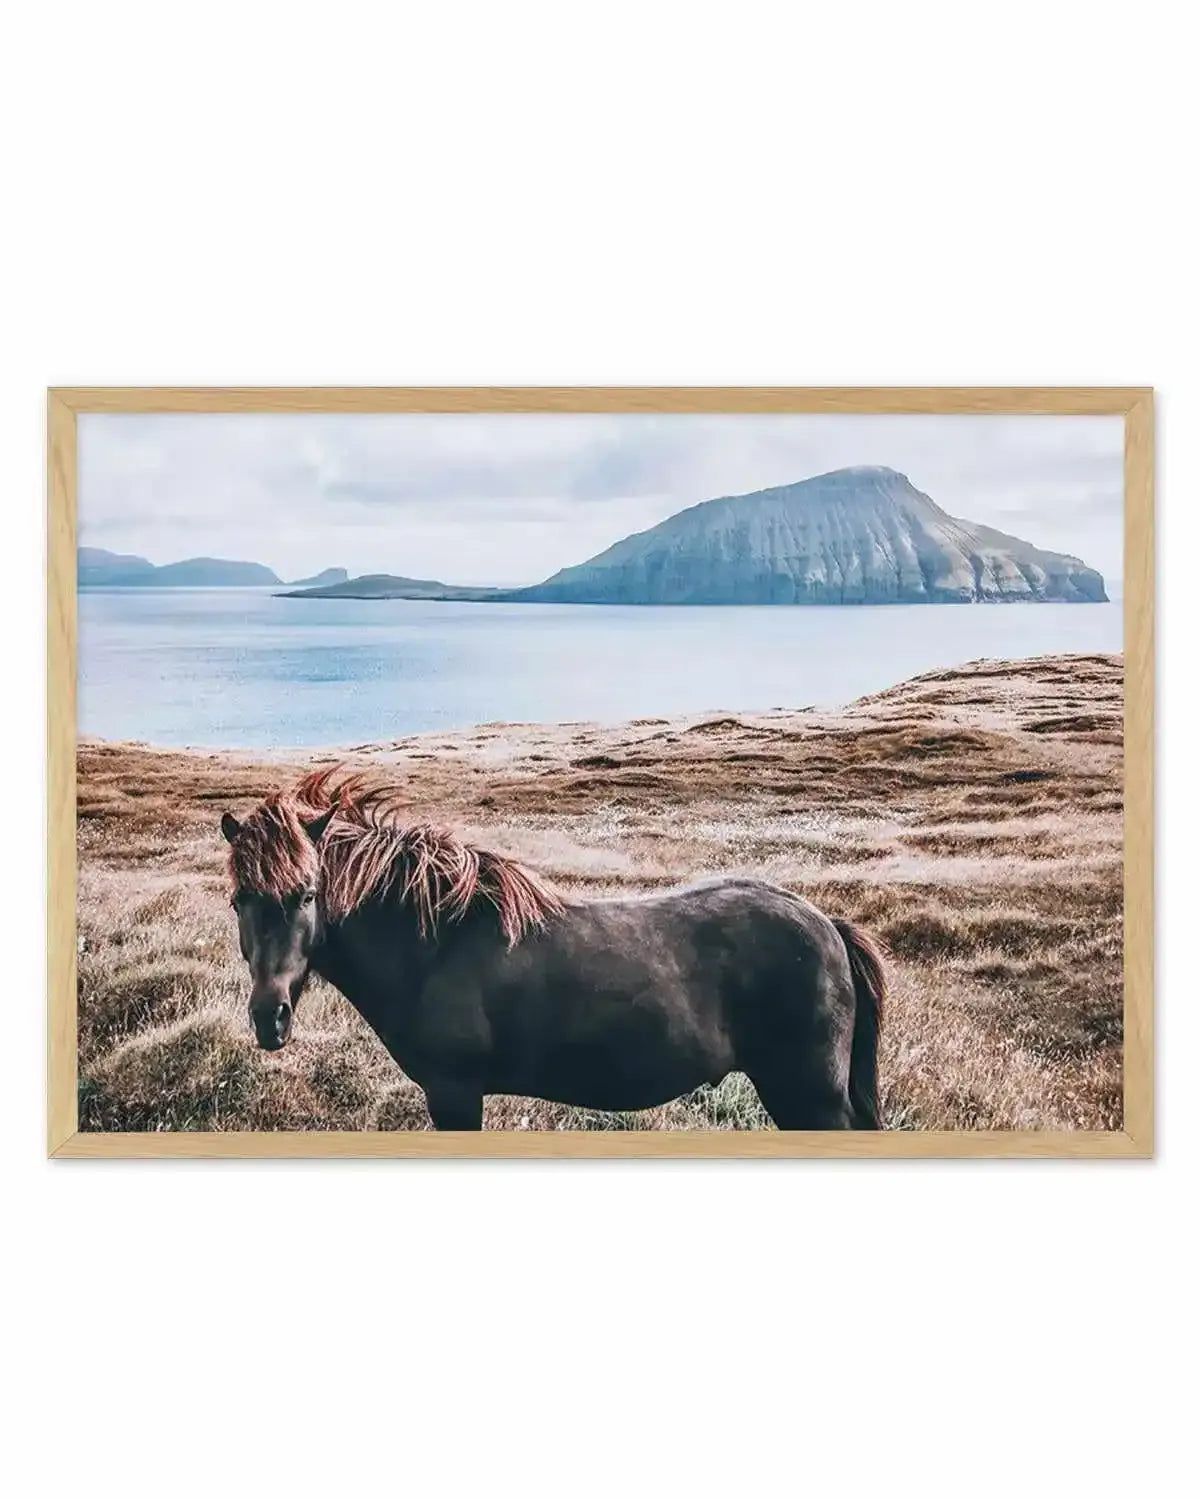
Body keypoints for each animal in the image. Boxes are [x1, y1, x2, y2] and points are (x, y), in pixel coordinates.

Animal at [220, 768, 886, 1130]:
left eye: (307, 894)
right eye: (238, 901)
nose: (270, 1019)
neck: (434, 944)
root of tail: (828, 924)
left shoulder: (454, 1093)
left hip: (809, 1094)